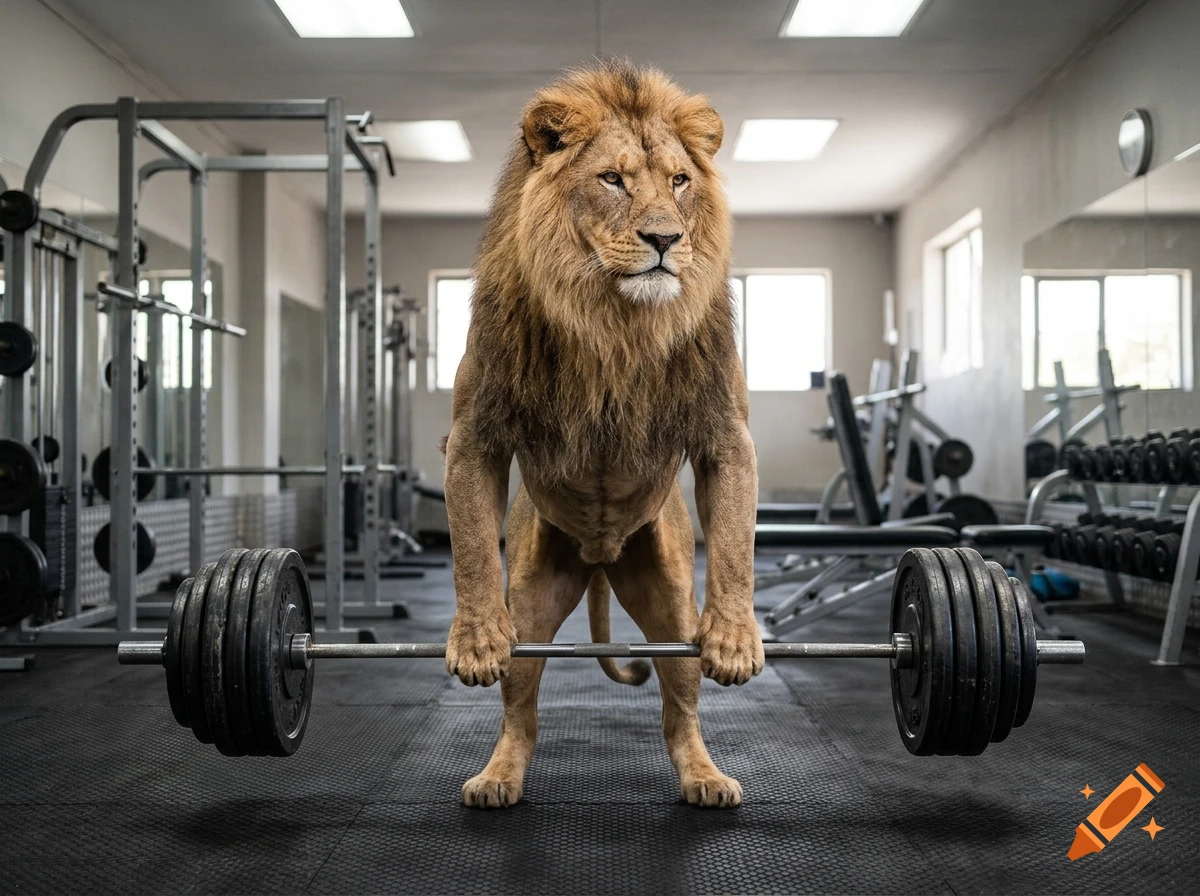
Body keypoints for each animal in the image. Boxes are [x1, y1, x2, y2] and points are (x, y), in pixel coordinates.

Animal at [442, 59, 763, 809]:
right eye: (612, 179)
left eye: (679, 181)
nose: (665, 240)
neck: (613, 323)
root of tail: (598, 557)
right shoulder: (475, 434)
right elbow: (471, 548)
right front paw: (475, 638)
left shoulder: (723, 433)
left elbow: (735, 544)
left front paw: (736, 635)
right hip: (533, 607)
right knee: (521, 704)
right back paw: (498, 777)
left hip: (670, 606)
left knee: (680, 703)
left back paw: (704, 777)